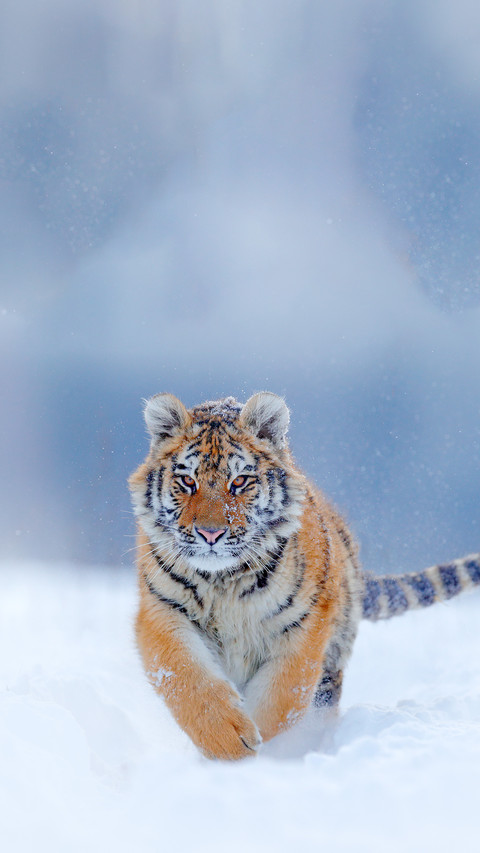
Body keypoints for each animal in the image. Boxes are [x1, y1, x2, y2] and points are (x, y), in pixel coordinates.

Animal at [128, 391, 480, 760]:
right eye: (187, 481)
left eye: (239, 481)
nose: (211, 534)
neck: (223, 580)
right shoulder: (163, 613)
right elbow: (187, 680)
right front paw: (230, 744)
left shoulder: (304, 624)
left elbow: (282, 697)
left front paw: (268, 752)